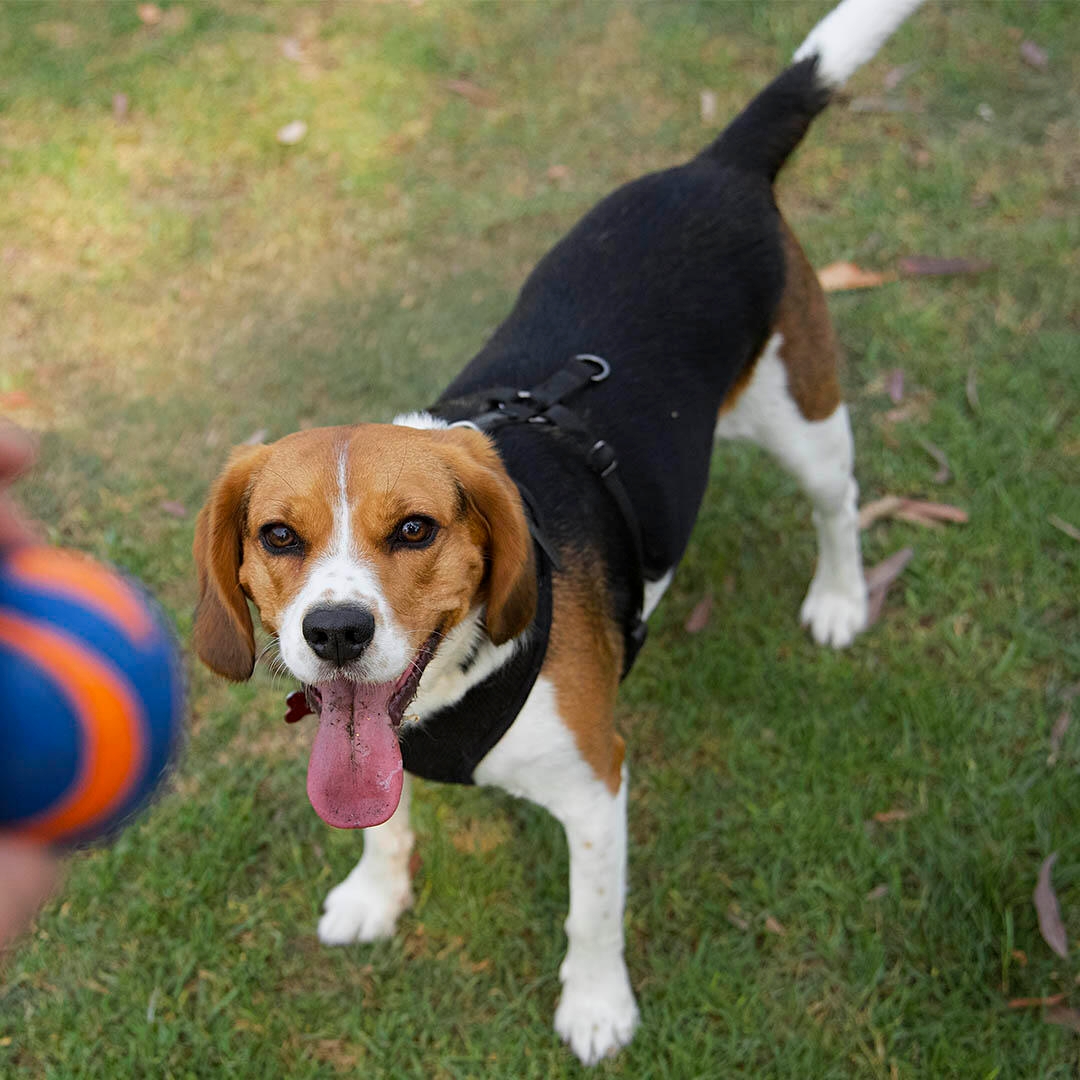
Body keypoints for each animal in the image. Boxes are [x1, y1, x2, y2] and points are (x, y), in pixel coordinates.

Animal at [192, 0, 920, 1062]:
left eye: (415, 529)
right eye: (280, 537)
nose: (335, 633)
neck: (447, 688)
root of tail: (716, 168)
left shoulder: (596, 784)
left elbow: (592, 912)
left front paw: (597, 1006)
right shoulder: (363, 742)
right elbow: (383, 821)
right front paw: (374, 893)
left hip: (806, 415)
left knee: (837, 501)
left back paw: (836, 597)